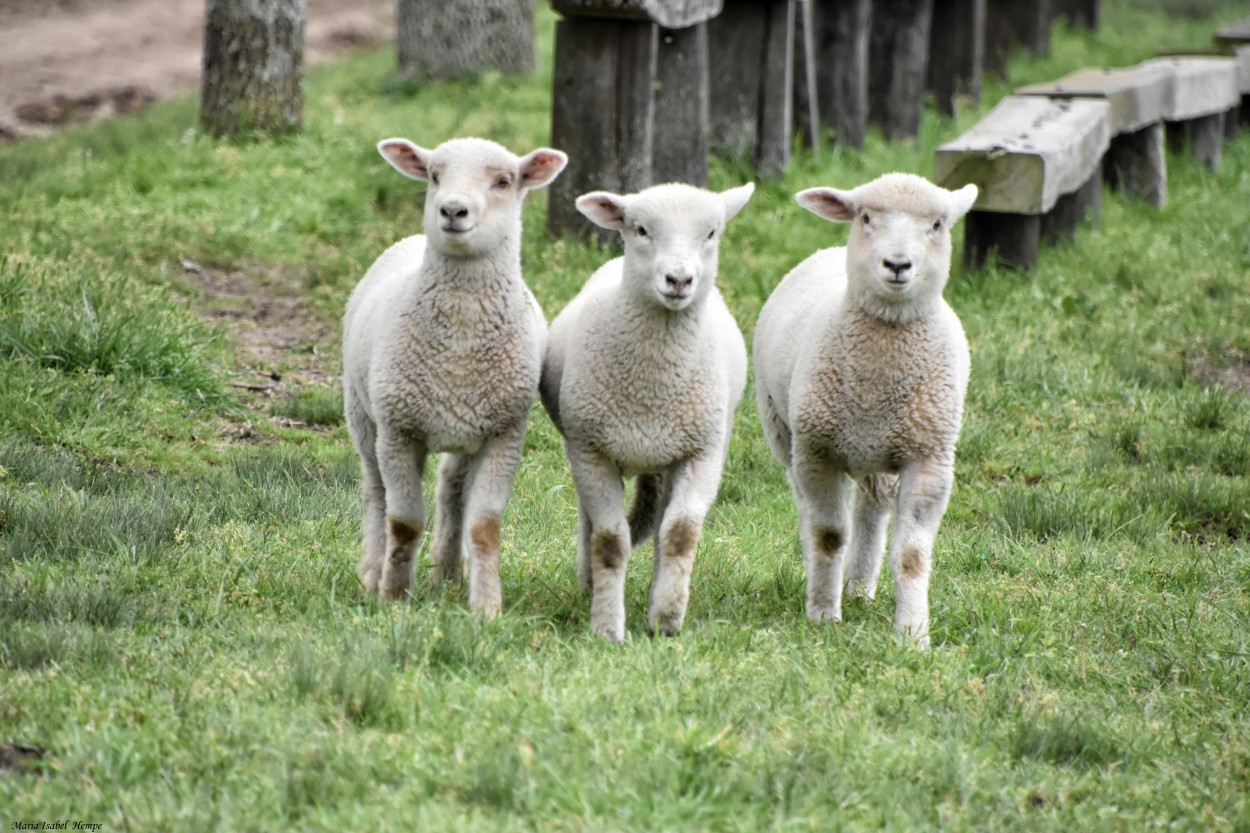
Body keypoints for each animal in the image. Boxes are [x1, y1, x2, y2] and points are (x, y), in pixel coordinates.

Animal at [342, 136, 567, 612]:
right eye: (433, 175)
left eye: (504, 181)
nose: (452, 210)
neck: (459, 347)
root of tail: (410, 240)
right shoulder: (399, 430)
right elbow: (404, 521)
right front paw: (394, 597)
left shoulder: (504, 434)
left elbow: (485, 526)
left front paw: (487, 608)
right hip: (362, 414)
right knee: (375, 491)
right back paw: (372, 571)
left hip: (467, 427)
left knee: (452, 489)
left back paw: (447, 572)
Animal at [537, 181, 750, 637]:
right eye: (641, 229)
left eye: (712, 233)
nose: (679, 279)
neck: (652, 389)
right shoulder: (591, 452)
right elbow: (610, 542)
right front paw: (606, 629)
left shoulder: (703, 453)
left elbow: (680, 534)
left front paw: (666, 620)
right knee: (591, 523)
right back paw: (587, 583)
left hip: (667, 457)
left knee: (661, 524)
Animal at [750, 171, 975, 645]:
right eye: (866, 217)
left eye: (937, 224)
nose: (897, 264)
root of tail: (831, 252)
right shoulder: (818, 452)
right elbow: (828, 536)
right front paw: (823, 616)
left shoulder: (929, 459)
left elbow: (912, 554)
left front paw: (913, 635)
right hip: (786, 434)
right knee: (811, 513)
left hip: (884, 451)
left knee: (871, 510)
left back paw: (858, 587)